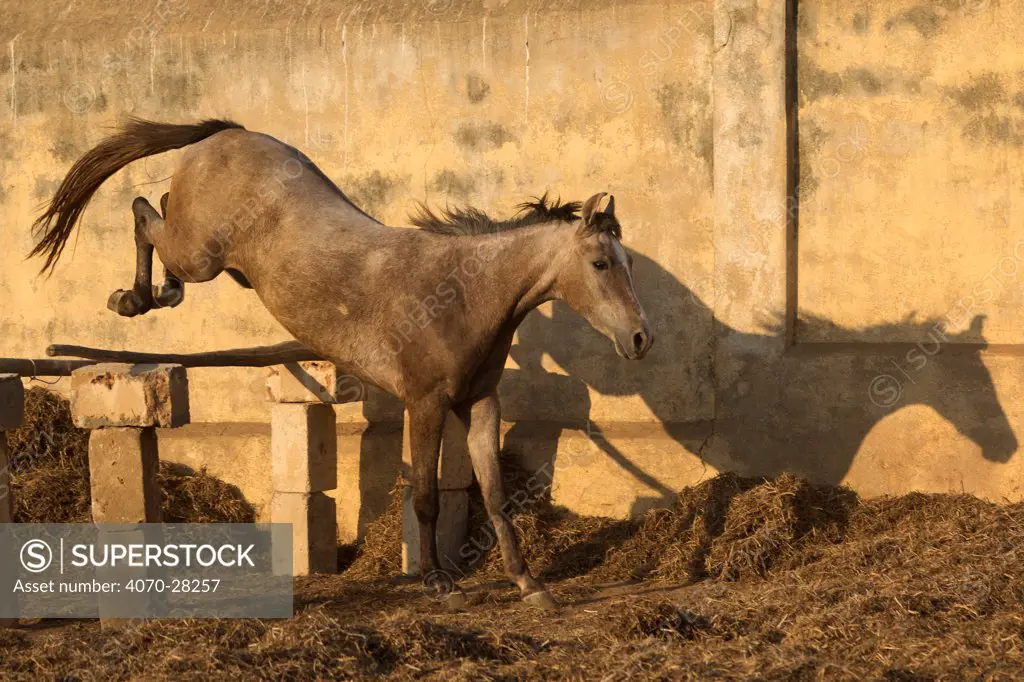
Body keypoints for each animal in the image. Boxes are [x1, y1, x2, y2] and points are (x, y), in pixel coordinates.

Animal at [34, 115, 655, 606]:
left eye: (627, 262)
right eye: (601, 263)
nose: (640, 338)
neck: (463, 294)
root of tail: (228, 134)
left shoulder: (480, 403)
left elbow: (497, 496)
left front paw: (530, 586)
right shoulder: (424, 404)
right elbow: (426, 498)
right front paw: (439, 583)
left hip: (214, 261)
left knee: (157, 210)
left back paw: (157, 291)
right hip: (200, 255)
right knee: (144, 214)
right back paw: (135, 298)